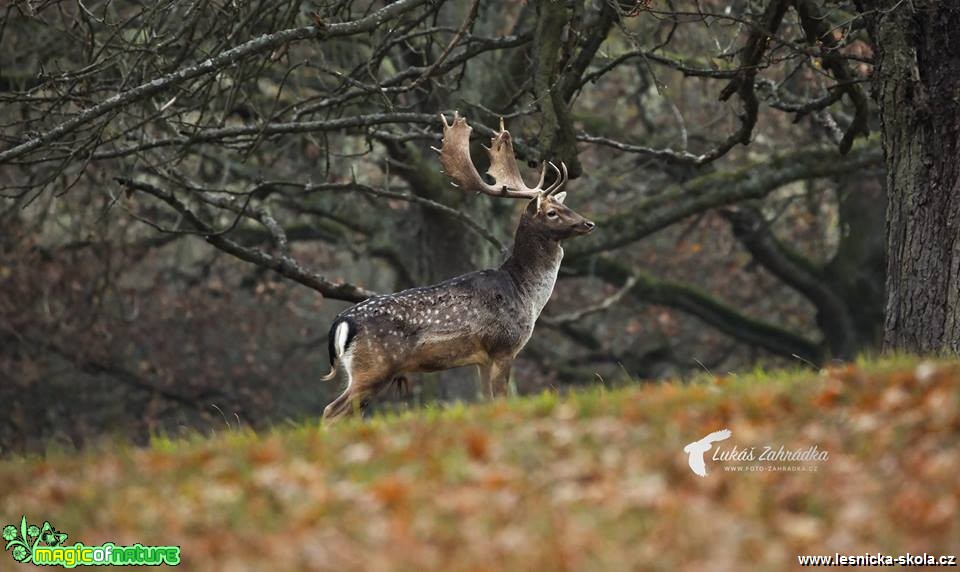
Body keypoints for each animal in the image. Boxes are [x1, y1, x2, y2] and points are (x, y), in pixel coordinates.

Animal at [318, 114, 596, 422]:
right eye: (551, 212)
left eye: (564, 206)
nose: (588, 223)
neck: (525, 294)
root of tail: (341, 323)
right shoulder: (504, 346)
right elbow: (502, 398)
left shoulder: (481, 358)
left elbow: (487, 400)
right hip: (374, 367)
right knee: (331, 411)